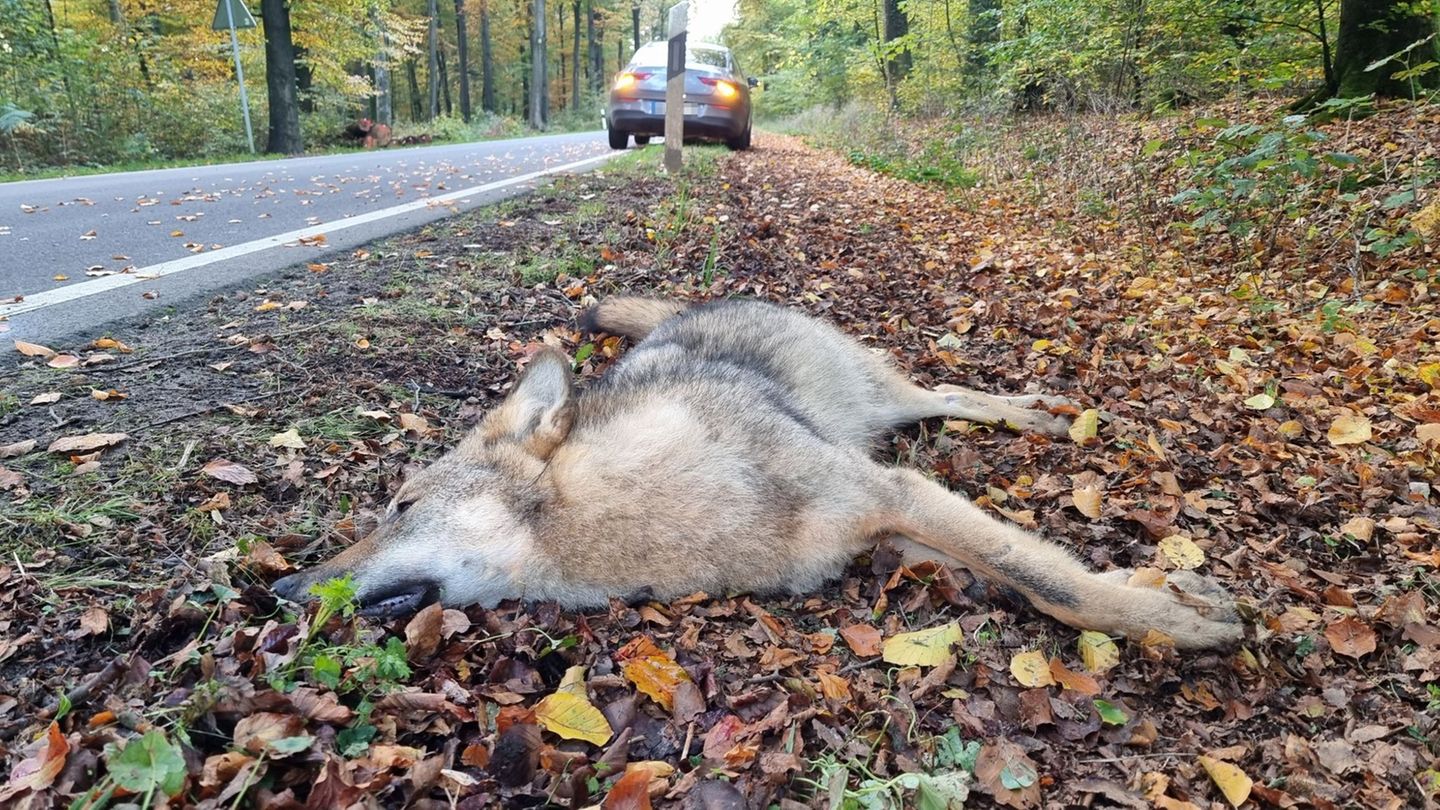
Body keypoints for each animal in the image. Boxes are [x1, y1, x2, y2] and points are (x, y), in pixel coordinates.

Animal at [272, 297, 1241, 649]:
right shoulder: (893, 530)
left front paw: (1173, 620)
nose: (277, 592)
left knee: (948, 390)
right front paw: (1164, 595)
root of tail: (701, 302)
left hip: (882, 404)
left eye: (399, 506)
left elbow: (1057, 584)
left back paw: (1037, 414)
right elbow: (1027, 570)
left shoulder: (890, 492)